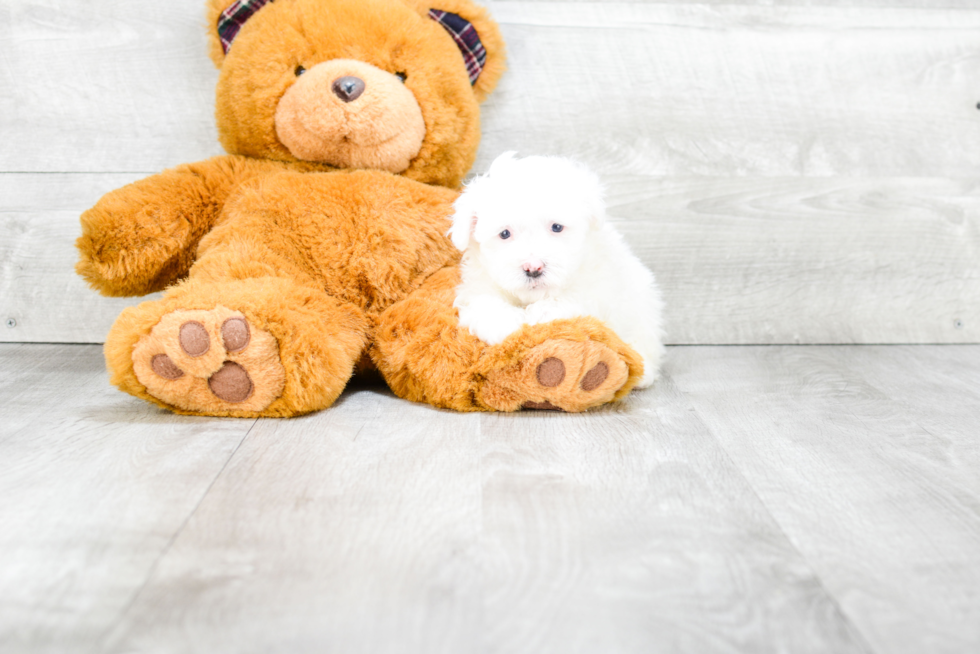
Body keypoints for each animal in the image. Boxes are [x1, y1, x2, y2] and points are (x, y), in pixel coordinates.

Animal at [450, 152, 668, 390]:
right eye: (504, 234)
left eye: (556, 227)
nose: (533, 268)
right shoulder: (478, 285)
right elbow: (485, 304)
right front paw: (504, 324)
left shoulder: (596, 286)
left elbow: (569, 302)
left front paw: (539, 314)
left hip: (642, 307)